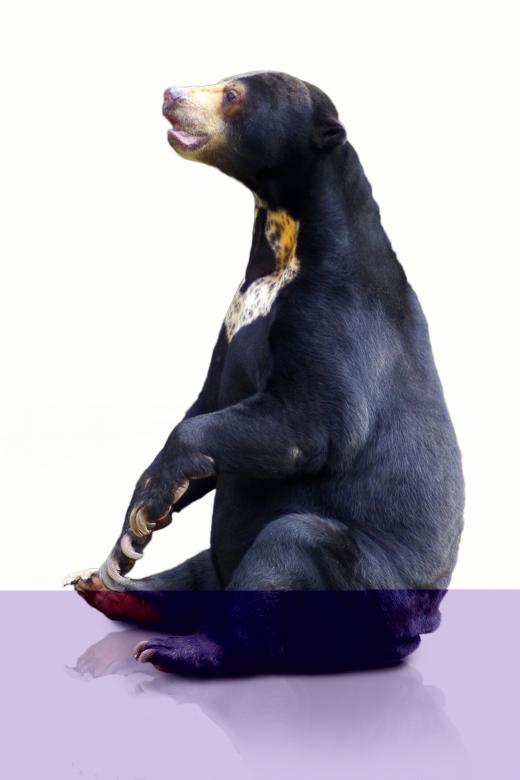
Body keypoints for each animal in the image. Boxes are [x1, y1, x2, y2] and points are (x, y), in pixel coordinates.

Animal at [63, 71, 464, 677]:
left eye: (232, 94)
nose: (169, 95)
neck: (283, 244)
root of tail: (418, 630)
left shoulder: (341, 311)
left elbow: (314, 420)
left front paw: (154, 496)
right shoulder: (235, 319)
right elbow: (209, 402)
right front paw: (138, 524)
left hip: (364, 585)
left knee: (284, 554)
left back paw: (183, 649)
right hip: (231, 565)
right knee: (200, 572)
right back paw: (112, 588)